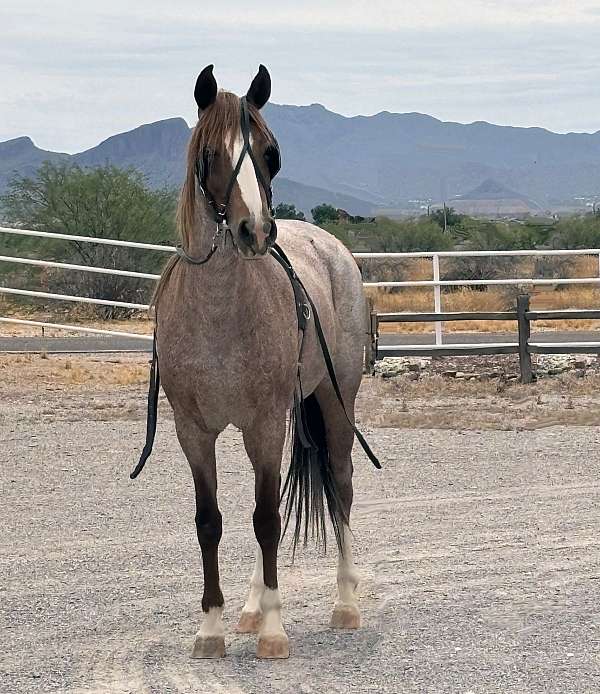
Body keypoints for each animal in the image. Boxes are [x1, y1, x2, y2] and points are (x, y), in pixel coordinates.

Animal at [151, 64, 374, 659]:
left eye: (271, 154)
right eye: (211, 154)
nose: (255, 230)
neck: (220, 313)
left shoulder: (265, 422)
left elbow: (268, 519)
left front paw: (275, 631)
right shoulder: (193, 430)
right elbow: (213, 521)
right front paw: (212, 629)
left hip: (335, 400)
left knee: (340, 485)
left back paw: (345, 603)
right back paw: (250, 609)